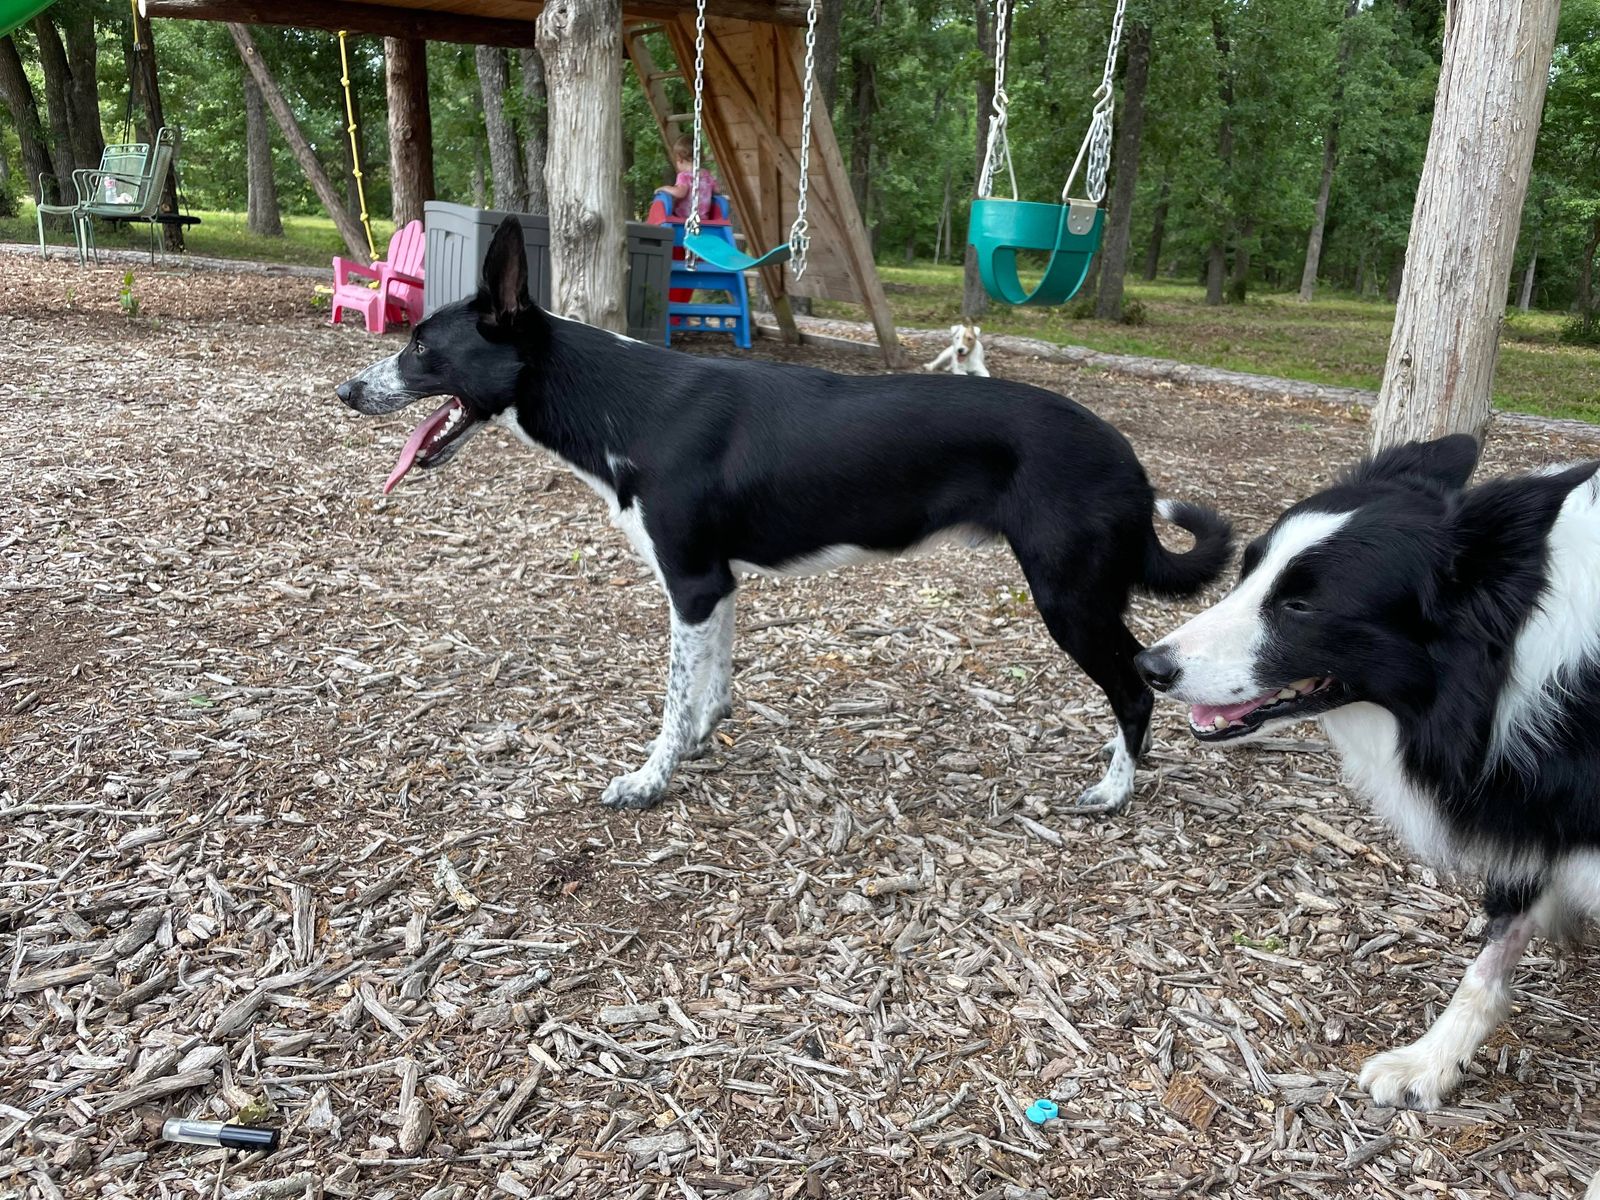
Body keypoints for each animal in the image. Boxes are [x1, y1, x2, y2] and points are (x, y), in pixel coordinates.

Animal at [334, 216, 1235, 819]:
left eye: (421, 347)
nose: (345, 391)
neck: (622, 404)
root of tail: (1127, 459)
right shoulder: (717, 586)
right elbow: (712, 681)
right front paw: (703, 738)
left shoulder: (691, 582)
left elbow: (672, 697)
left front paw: (650, 779)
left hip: (1069, 599)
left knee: (1136, 690)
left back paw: (1114, 790)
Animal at [1139, 438, 1600, 1113]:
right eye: (1248, 571)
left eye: (1301, 605)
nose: (1148, 665)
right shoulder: (1539, 825)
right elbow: (1489, 957)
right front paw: (1431, 1063)